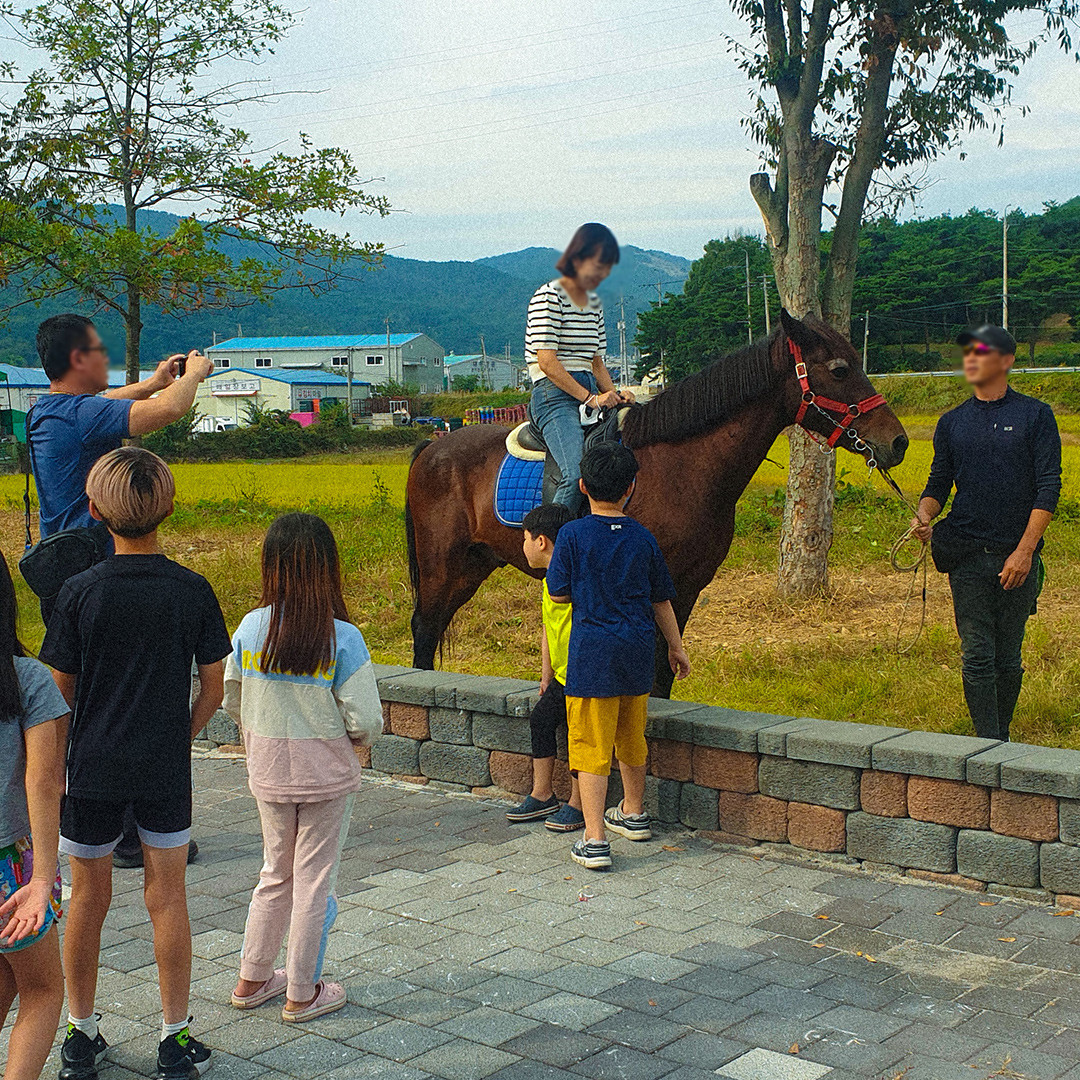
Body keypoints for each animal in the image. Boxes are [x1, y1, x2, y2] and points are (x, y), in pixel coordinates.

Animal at [408, 311, 907, 699]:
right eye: (839, 369)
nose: (897, 443)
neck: (681, 464)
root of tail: (432, 448)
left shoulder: (683, 589)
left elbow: (664, 674)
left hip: (472, 567)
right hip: (441, 568)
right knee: (424, 630)